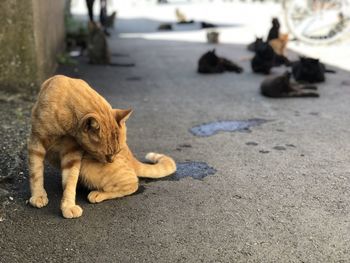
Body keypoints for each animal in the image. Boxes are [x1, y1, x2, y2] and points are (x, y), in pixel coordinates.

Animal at [28, 75, 120, 220]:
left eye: (118, 152)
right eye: (107, 155)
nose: (111, 161)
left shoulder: (71, 153)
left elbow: (70, 182)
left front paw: (68, 206)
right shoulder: (36, 144)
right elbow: (36, 173)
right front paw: (38, 195)